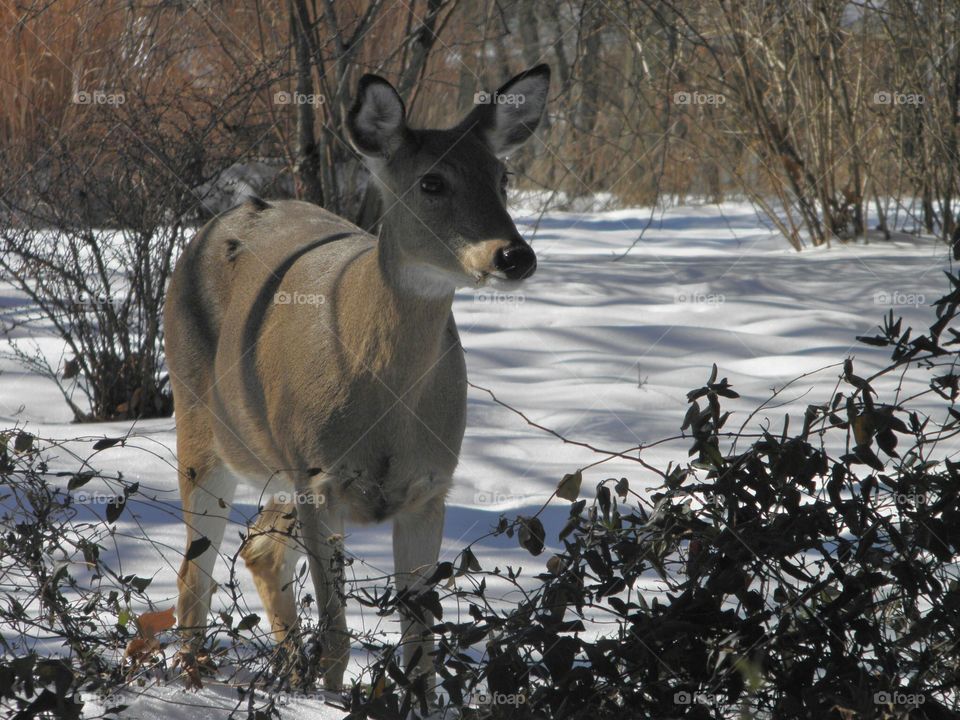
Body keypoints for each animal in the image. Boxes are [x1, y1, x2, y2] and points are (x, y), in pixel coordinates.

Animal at [167, 64, 548, 688]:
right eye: (431, 182)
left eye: (503, 177)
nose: (514, 256)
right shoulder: (319, 481)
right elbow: (338, 644)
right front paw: (326, 697)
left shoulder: (429, 487)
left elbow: (420, 654)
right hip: (200, 417)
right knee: (193, 573)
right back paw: (195, 678)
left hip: (281, 462)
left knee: (258, 549)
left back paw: (281, 671)